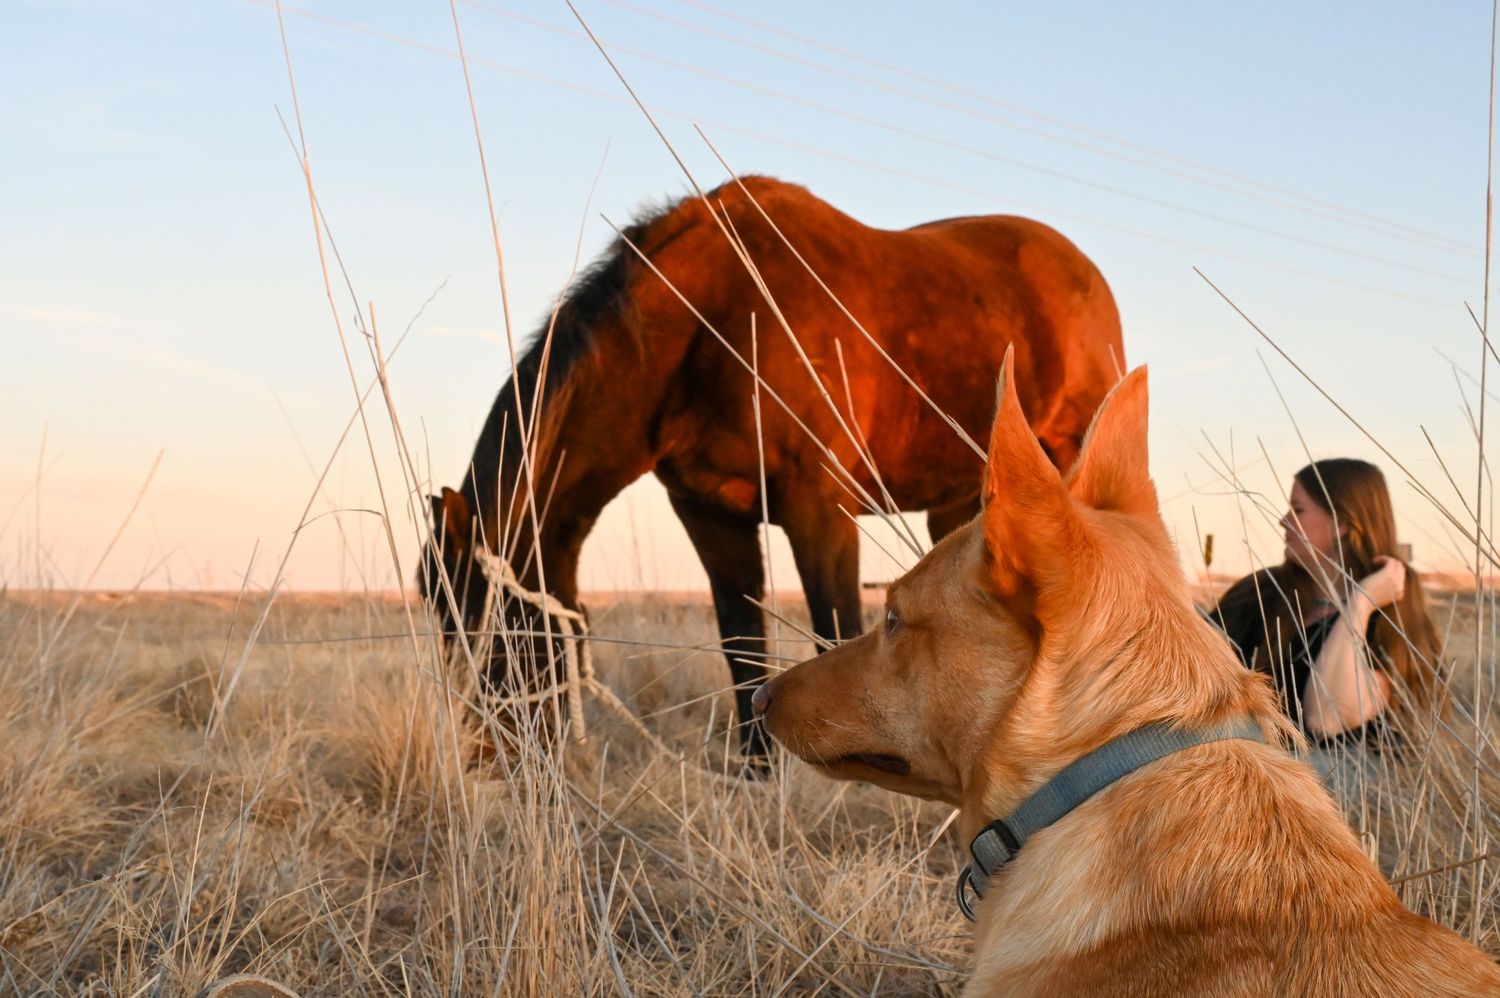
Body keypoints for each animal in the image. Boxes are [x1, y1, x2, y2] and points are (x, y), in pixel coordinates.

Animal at [421, 176, 1123, 765]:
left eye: (488, 618)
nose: (482, 754)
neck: (712, 320)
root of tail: (1084, 269)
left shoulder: (820, 508)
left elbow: (835, 628)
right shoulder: (709, 513)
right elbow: (741, 641)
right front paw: (758, 770)